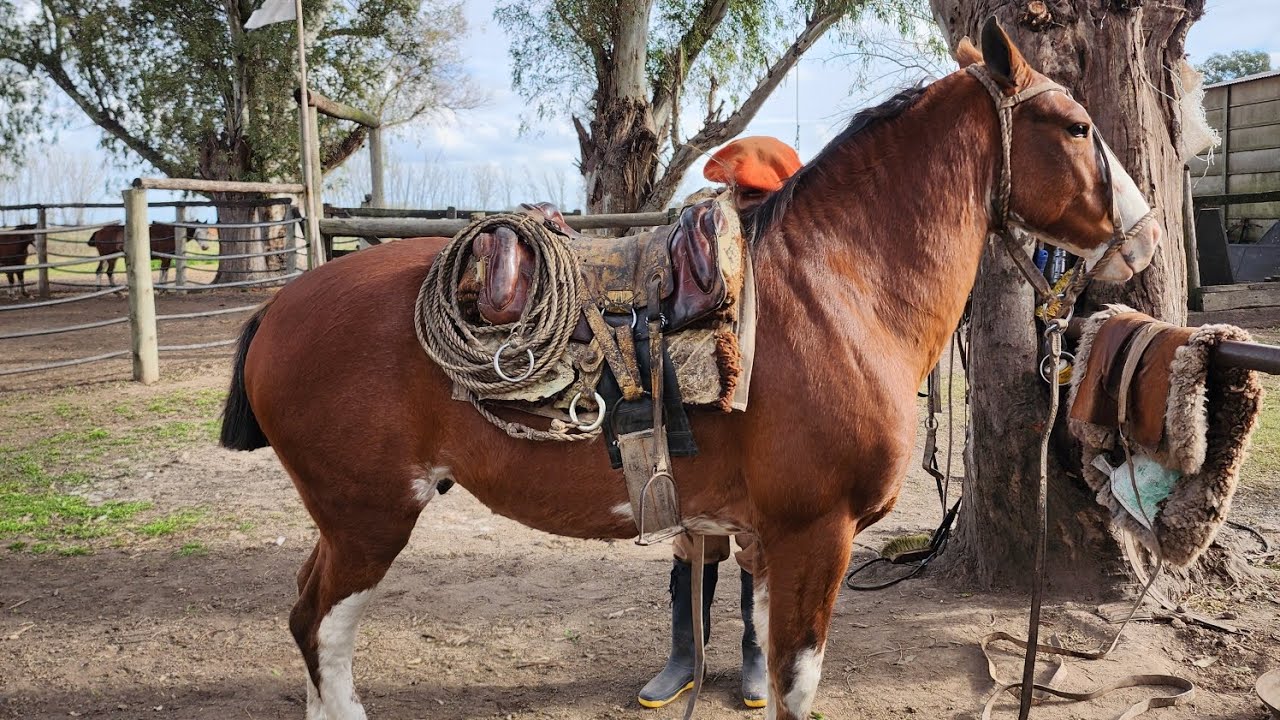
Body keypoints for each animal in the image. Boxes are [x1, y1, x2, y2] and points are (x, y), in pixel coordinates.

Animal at [219, 22, 1162, 720]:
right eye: (1076, 127)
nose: (1146, 236)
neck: (839, 289)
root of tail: (283, 306)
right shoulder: (817, 533)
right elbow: (796, 685)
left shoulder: (764, 536)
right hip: (369, 516)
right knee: (322, 626)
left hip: (350, 519)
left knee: (308, 618)